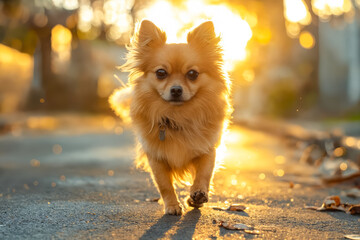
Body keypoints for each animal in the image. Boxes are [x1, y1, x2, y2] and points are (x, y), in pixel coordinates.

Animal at [109, 20, 232, 216]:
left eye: (192, 74)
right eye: (161, 73)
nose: (176, 90)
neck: (178, 117)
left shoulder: (207, 151)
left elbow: (204, 174)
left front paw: (198, 194)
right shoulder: (156, 158)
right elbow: (165, 185)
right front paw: (172, 206)